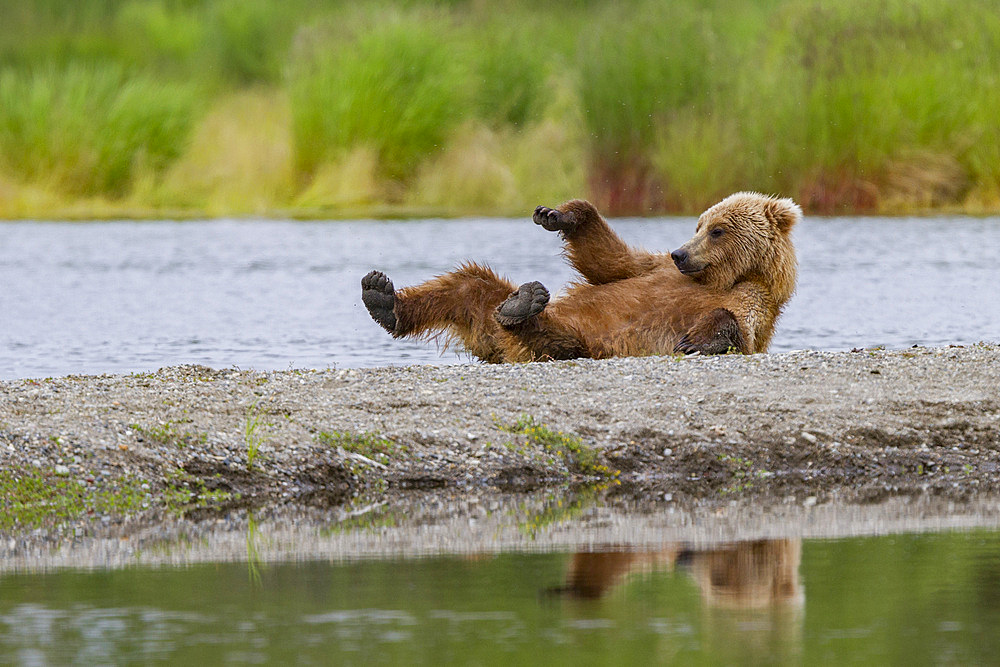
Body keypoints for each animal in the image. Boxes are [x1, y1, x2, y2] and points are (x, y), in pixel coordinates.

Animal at [364, 190, 800, 362]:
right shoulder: (653, 266)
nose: (681, 253)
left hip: (583, 340)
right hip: (484, 311)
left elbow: (741, 328)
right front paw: (557, 214)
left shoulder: (756, 299)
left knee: (553, 336)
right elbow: (609, 261)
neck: (720, 278)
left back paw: (522, 307)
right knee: (467, 281)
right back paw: (383, 297)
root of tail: (498, 345)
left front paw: (697, 340)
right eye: (698, 225)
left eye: (718, 230)